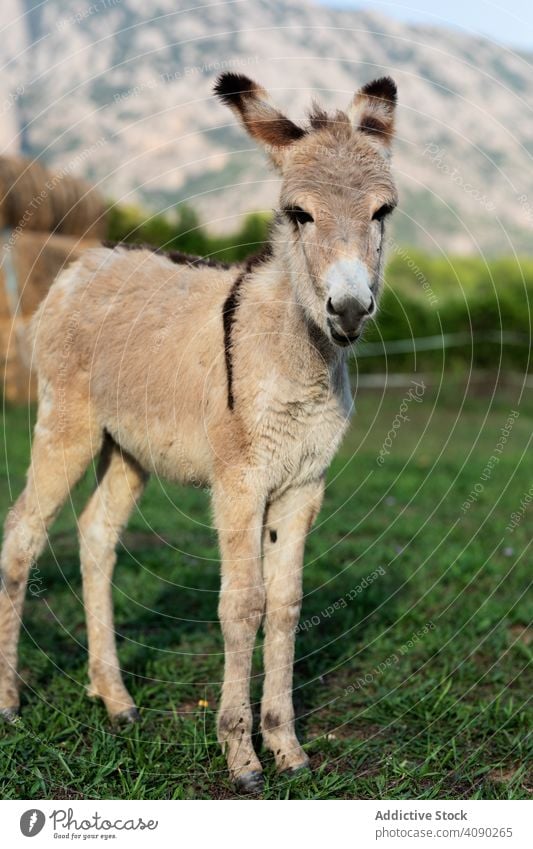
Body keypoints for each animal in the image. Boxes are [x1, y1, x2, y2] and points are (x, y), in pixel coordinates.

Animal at [0, 73, 394, 796]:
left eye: (382, 211)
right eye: (299, 213)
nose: (349, 310)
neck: (296, 354)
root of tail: (84, 263)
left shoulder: (304, 483)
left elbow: (287, 605)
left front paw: (287, 746)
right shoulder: (239, 480)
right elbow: (243, 603)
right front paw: (241, 756)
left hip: (128, 446)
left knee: (96, 535)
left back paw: (115, 698)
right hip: (67, 423)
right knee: (23, 532)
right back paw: (12, 700)